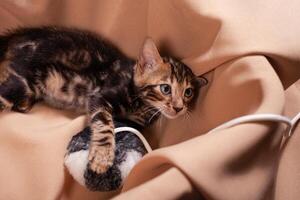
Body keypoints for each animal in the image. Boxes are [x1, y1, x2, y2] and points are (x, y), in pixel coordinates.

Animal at [0, 26, 206, 173]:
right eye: (165, 88)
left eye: (188, 92)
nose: (179, 108)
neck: (141, 104)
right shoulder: (100, 97)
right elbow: (105, 123)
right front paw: (101, 157)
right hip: (27, 78)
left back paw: (25, 103)